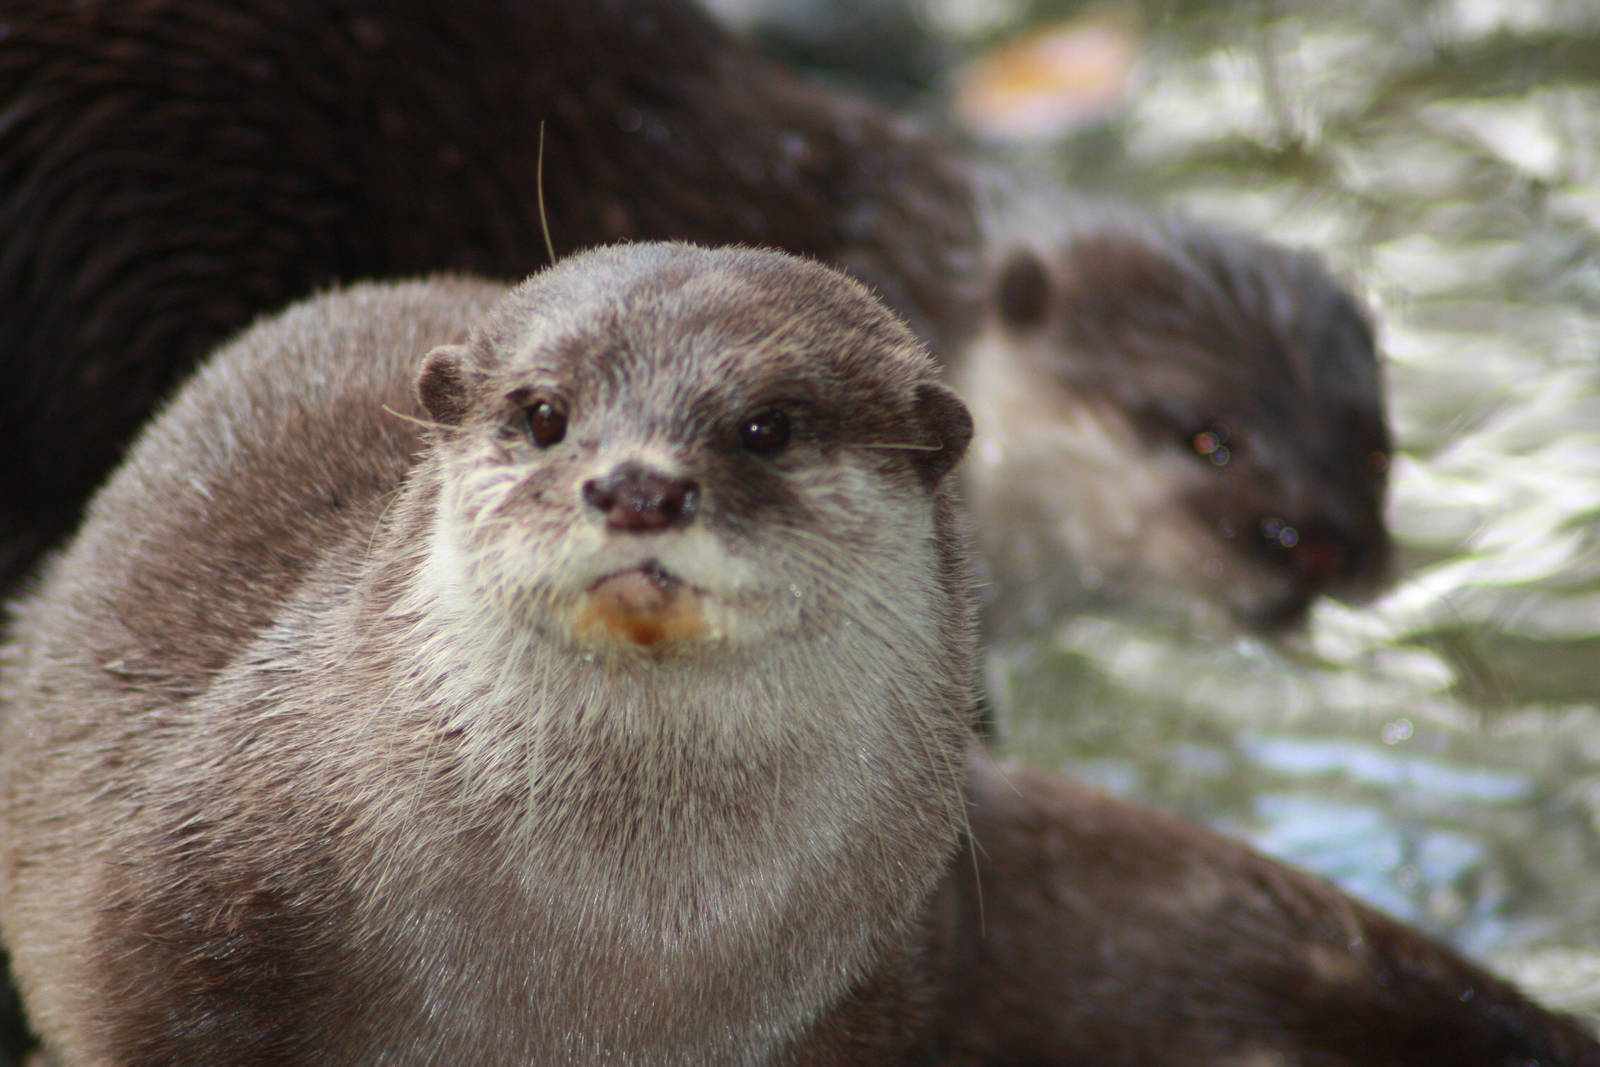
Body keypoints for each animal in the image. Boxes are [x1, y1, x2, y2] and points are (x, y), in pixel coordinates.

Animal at [3, 245, 1595, 1065]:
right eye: (541, 413)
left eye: (765, 425)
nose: (636, 485)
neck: (613, 966)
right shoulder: (186, 918)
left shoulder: (869, 996)